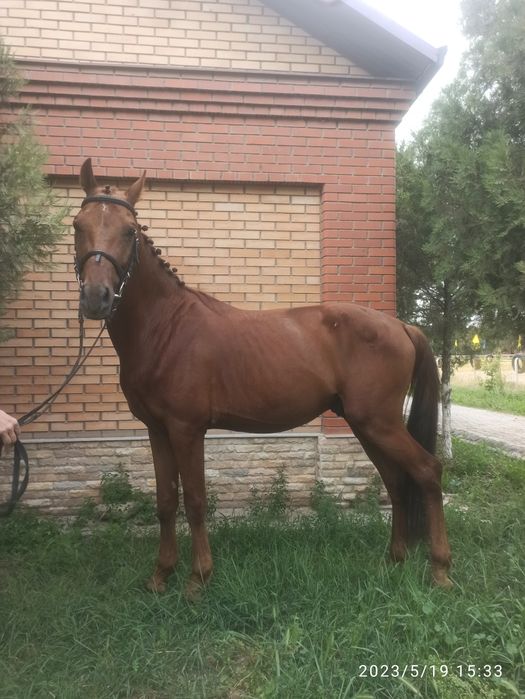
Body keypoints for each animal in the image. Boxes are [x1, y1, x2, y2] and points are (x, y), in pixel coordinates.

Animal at [72, 158, 452, 595]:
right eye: (77, 225)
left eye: (129, 231)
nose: (96, 298)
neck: (165, 327)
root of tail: (402, 326)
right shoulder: (157, 429)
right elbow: (166, 500)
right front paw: (160, 575)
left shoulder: (187, 429)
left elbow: (196, 501)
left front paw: (198, 578)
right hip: (367, 425)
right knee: (395, 480)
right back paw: (394, 559)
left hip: (380, 423)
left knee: (427, 472)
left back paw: (440, 569)